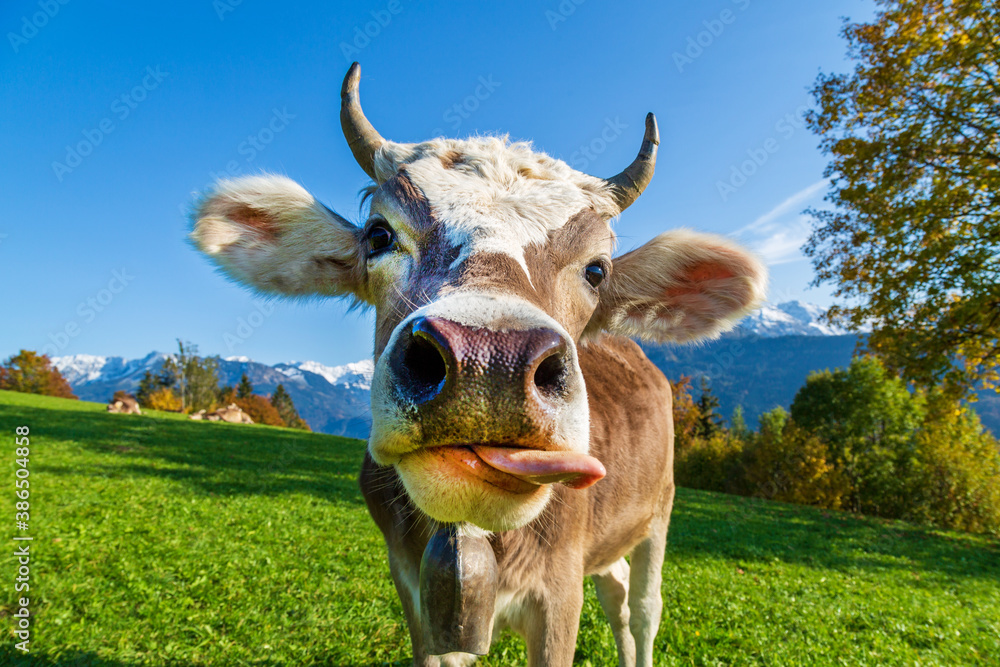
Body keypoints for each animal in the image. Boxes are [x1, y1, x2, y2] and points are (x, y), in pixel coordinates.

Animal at [190, 63, 767, 666]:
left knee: (643, 608)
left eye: (598, 270)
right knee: (617, 592)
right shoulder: (414, 591)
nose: (489, 362)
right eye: (378, 235)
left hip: (660, 508)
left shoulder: (560, 590)